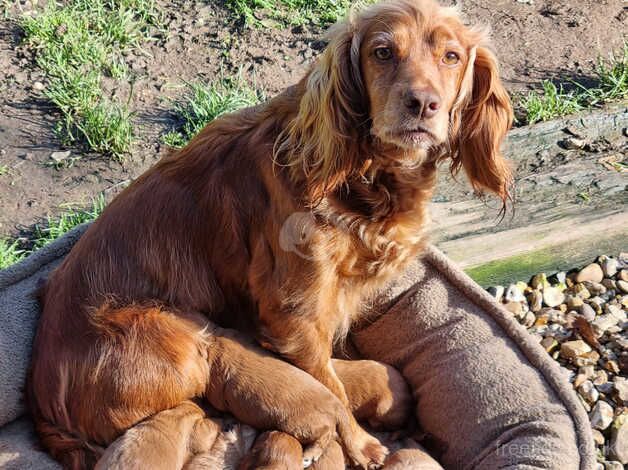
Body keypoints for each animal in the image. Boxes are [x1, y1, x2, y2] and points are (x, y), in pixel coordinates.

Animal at [27, 0, 512, 468]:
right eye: (382, 52)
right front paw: (361, 446)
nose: (423, 104)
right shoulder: (296, 315)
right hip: (181, 344)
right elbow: (330, 390)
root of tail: (42, 402)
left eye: (451, 56)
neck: (358, 174)